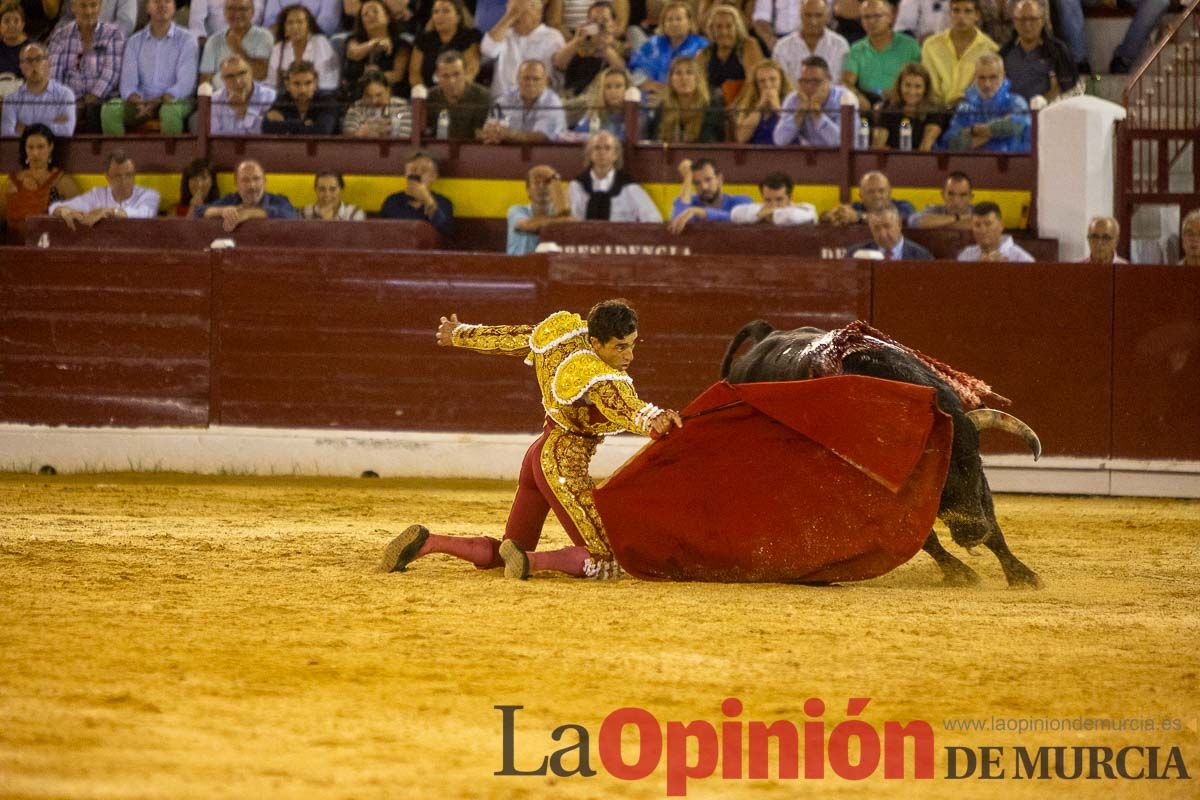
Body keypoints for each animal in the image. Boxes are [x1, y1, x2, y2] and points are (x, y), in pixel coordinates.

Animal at [720, 321, 1041, 592]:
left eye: (975, 462)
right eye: (934, 474)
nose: (973, 531)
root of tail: (766, 335)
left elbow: (993, 525)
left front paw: (1022, 574)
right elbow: (923, 537)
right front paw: (960, 573)